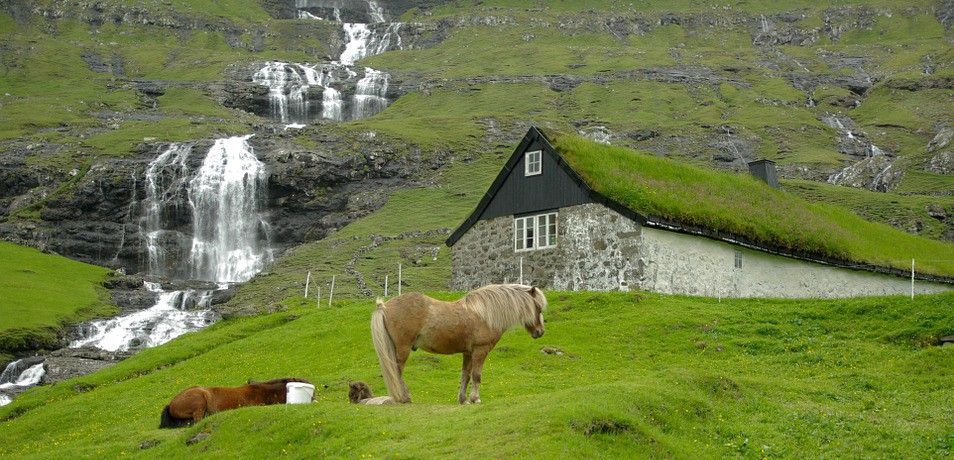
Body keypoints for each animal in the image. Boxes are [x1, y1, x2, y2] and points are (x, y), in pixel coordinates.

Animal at [374, 282, 552, 404]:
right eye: (538, 307)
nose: (540, 332)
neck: (485, 314)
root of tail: (385, 306)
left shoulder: (468, 353)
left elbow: (465, 376)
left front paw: (463, 399)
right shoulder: (480, 351)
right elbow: (476, 375)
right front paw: (475, 399)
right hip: (403, 349)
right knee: (397, 371)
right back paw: (404, 397)